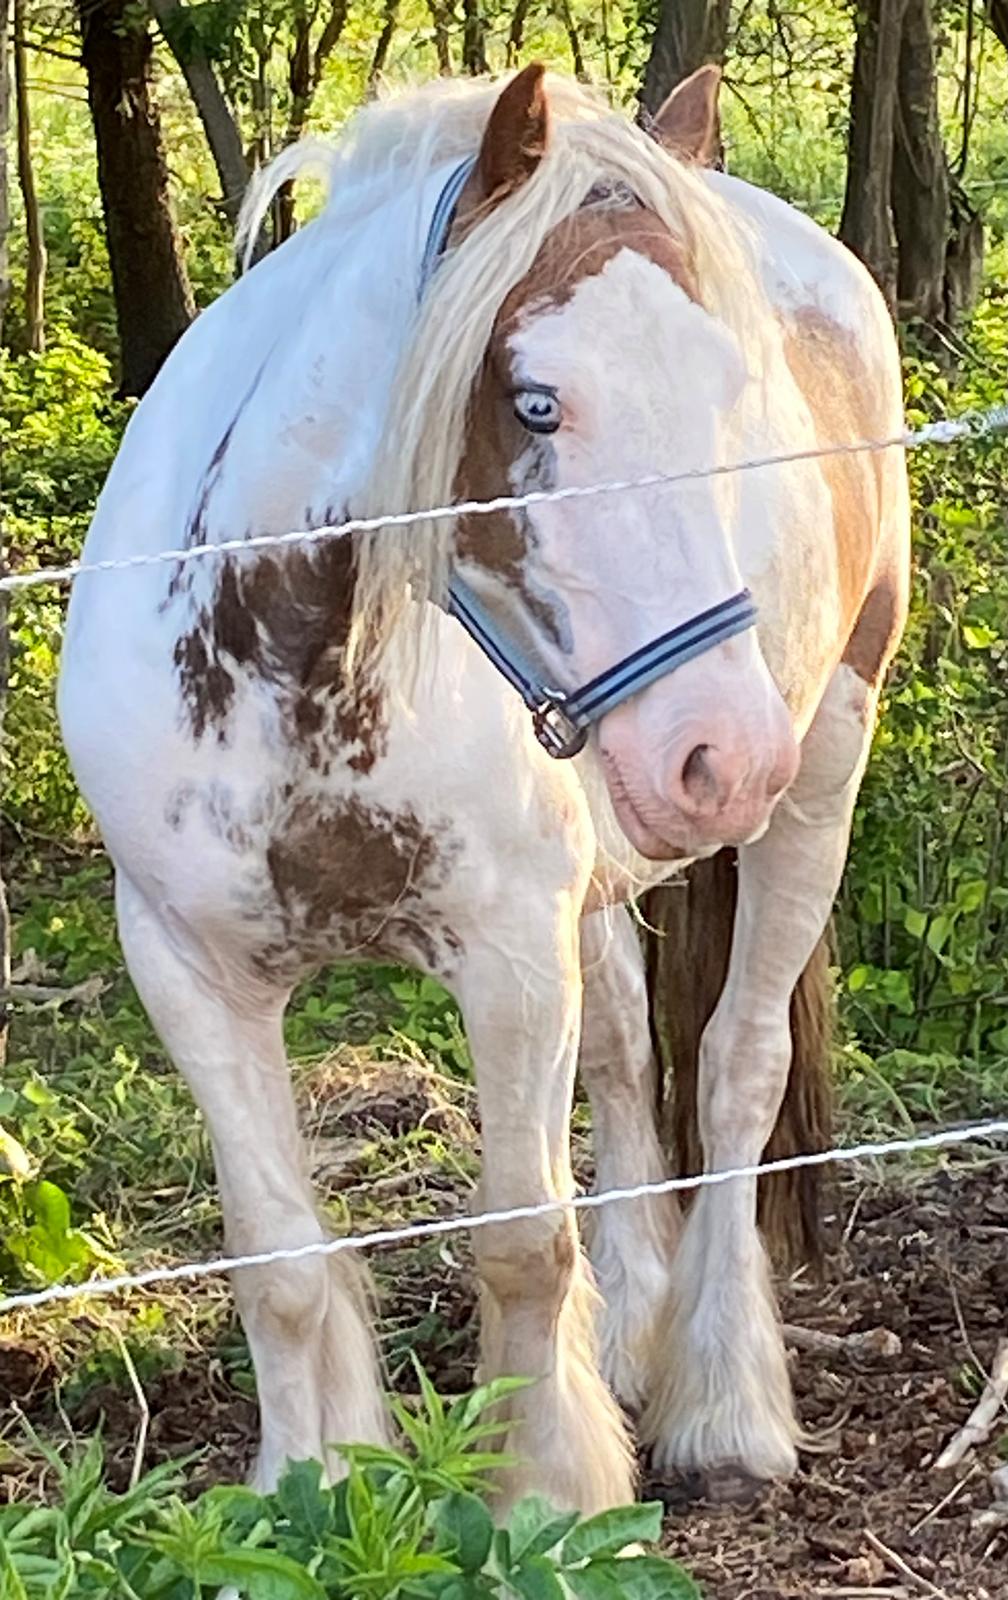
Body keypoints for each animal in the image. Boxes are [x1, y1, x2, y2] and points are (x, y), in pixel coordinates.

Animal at [59, 65, 915, 1510]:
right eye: (535, 403)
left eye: (733, 401)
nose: (723, 753)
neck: (301, 675)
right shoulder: (186, 965)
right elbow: (278, 1260)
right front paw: (308, 1487)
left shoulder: (509, 958)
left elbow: (523, 1242)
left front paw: (550, 1502)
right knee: (628, 1059)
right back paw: (629, 1344)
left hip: (823, 779)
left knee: (736, 1070)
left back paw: (723, 1406)